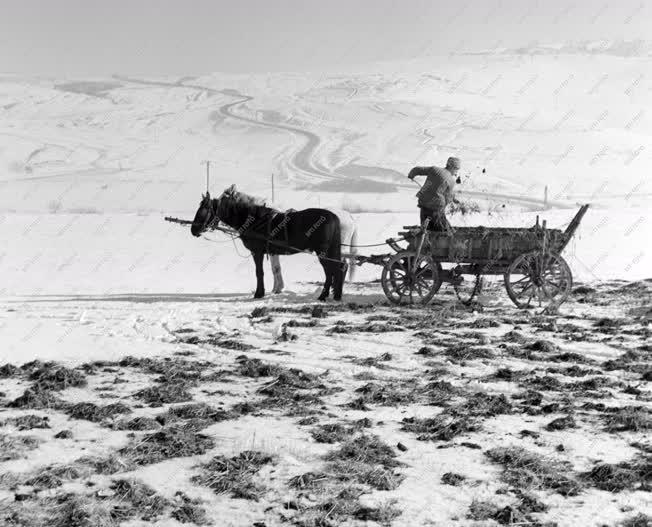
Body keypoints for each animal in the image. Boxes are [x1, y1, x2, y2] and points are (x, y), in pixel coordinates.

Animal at [190, 186, 346, 302]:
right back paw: (335, 295)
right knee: (338, 268)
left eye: (204, 209)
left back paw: (323, 296)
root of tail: (334, 217)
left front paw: (259, 293)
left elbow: (259, 272)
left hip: (323, 252)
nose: (193, 229)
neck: (253, 220)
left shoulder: (257, 252)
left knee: (331, 271)